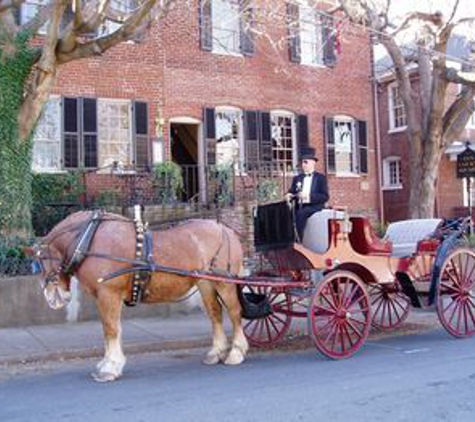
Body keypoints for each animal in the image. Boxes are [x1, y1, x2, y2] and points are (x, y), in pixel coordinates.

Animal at [29, 211, 249, 382]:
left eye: (41, 261)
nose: (52, 298)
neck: (88, 240)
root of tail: (225, 229)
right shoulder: (107, 297)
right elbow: (111, 329)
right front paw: (109, 363)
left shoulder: (109, 294)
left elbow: (111, 329)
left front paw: (110, 367)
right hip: (205, 283)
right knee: (215, 314)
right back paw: (216, 352)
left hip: (225, 282)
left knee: (234, 312)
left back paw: (236, 352)